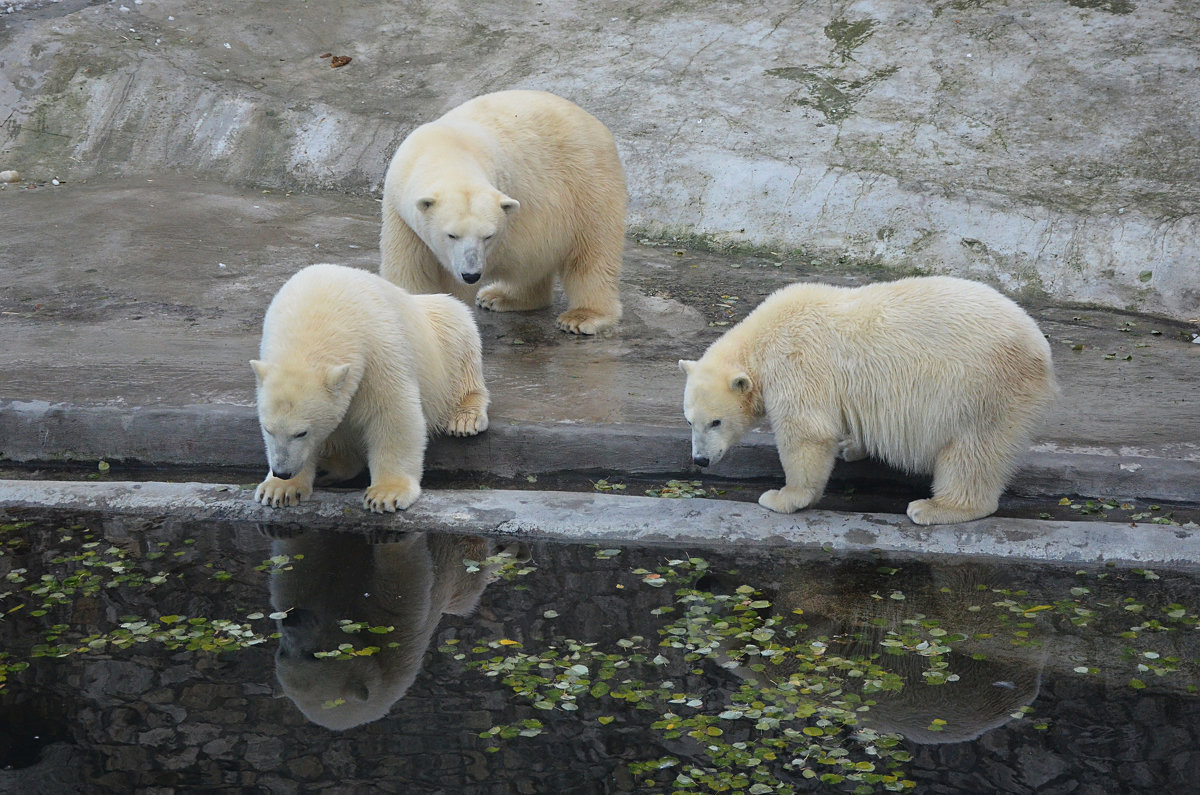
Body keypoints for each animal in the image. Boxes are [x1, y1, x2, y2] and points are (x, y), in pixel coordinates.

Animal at [250, 266, 489, 516]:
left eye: (301, 433)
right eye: (267, 430)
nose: (282, 471)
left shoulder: (377, 348)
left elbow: (393, 413)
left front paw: (386, 494)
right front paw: (278, 490)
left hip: (444, 344)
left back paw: (465, 419)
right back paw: (329, 467)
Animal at [381, 89, 628, 336]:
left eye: (488, 236)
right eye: (451, 235)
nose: (471, 275)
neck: (447, 150)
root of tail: (596, 124)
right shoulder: (401, 216)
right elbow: (410, 270)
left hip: (587, 185)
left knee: (592, 254)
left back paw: (582, 317)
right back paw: (501, 297)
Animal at [681, 277, 1056, 525]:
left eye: (716, 421)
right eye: (690, 421)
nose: (700, 460)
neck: (760, 338)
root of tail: (1041, 348)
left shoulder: (796, 361)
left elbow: (806, 431)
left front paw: (783, 497)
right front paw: (851, 447)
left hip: (982, 388)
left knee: (973, 450)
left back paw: (934, 508)